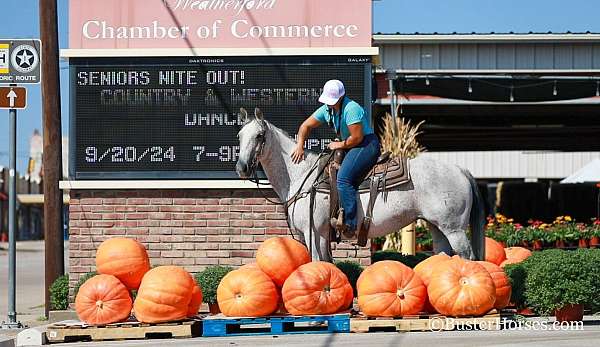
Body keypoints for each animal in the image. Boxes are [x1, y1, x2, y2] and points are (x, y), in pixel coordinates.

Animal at [237, 108, 486, 260]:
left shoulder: (313, 232)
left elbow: (316, 264)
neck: (302, 175)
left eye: (259, 135)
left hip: (454, 228)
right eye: (239, 135)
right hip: (437, 226)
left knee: (467, 257)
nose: (242, 168)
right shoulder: (322, 235)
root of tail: (461, 170)